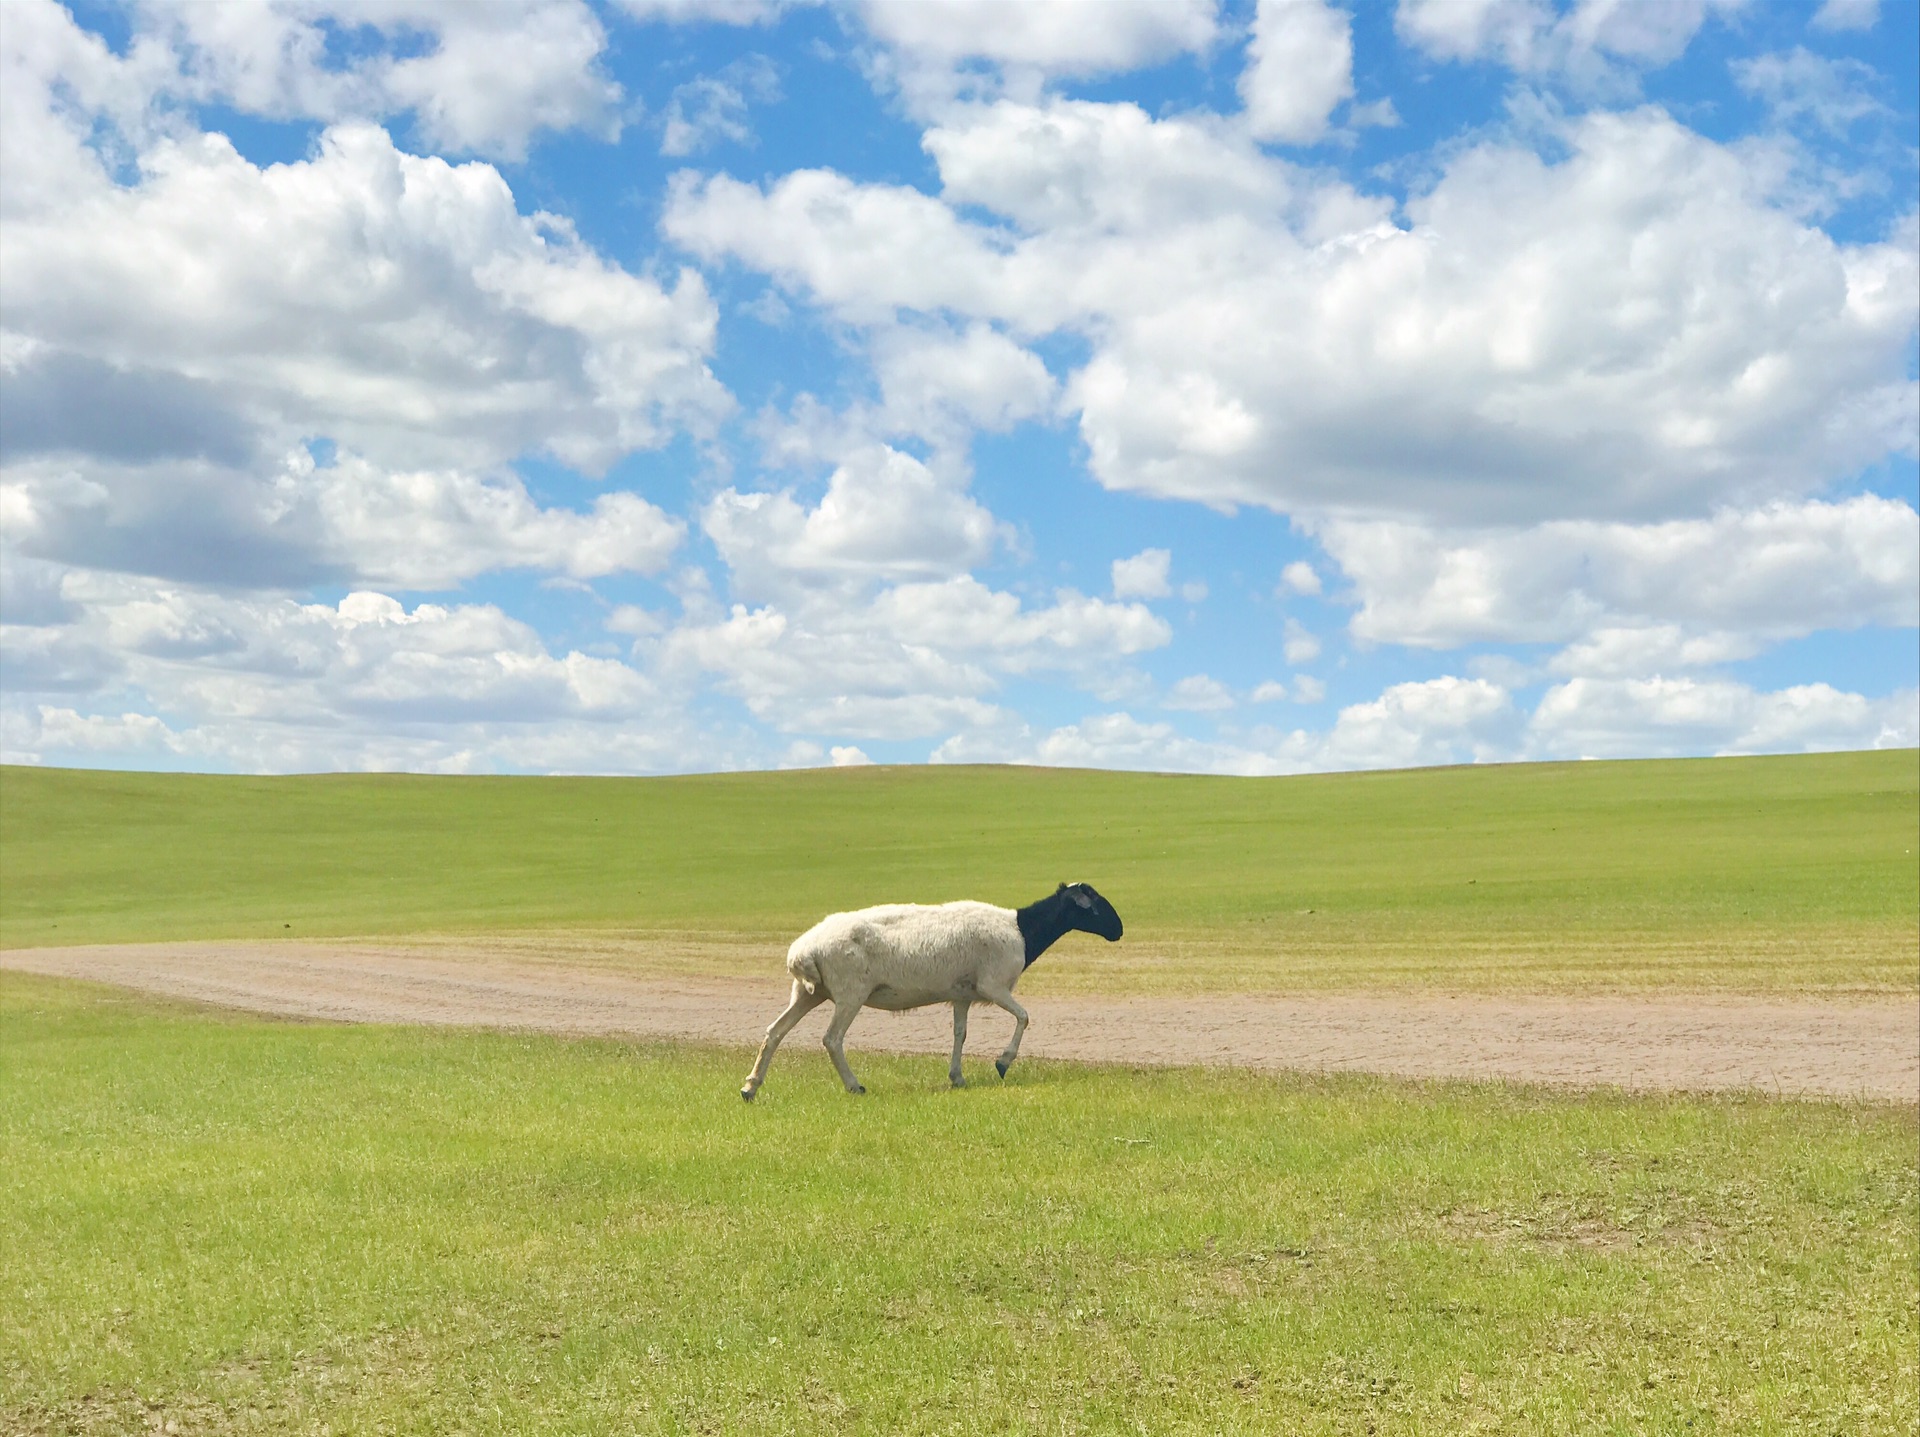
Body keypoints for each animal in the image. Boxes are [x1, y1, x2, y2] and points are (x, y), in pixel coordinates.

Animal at [737, 876, 1121, 1098]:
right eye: (1095, 904)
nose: (1118, 931)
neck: (1022, 930)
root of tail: (801, 951)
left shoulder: (963, 994)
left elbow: (960, 1034)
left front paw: (957, 1077)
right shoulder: (993, 985)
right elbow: (1024, 1017)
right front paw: (1002, 1063)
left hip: (808, 992)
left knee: (774, 1032)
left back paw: (750, 1087)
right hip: (849, 992)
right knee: (831, 1039)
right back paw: (854, 1086)